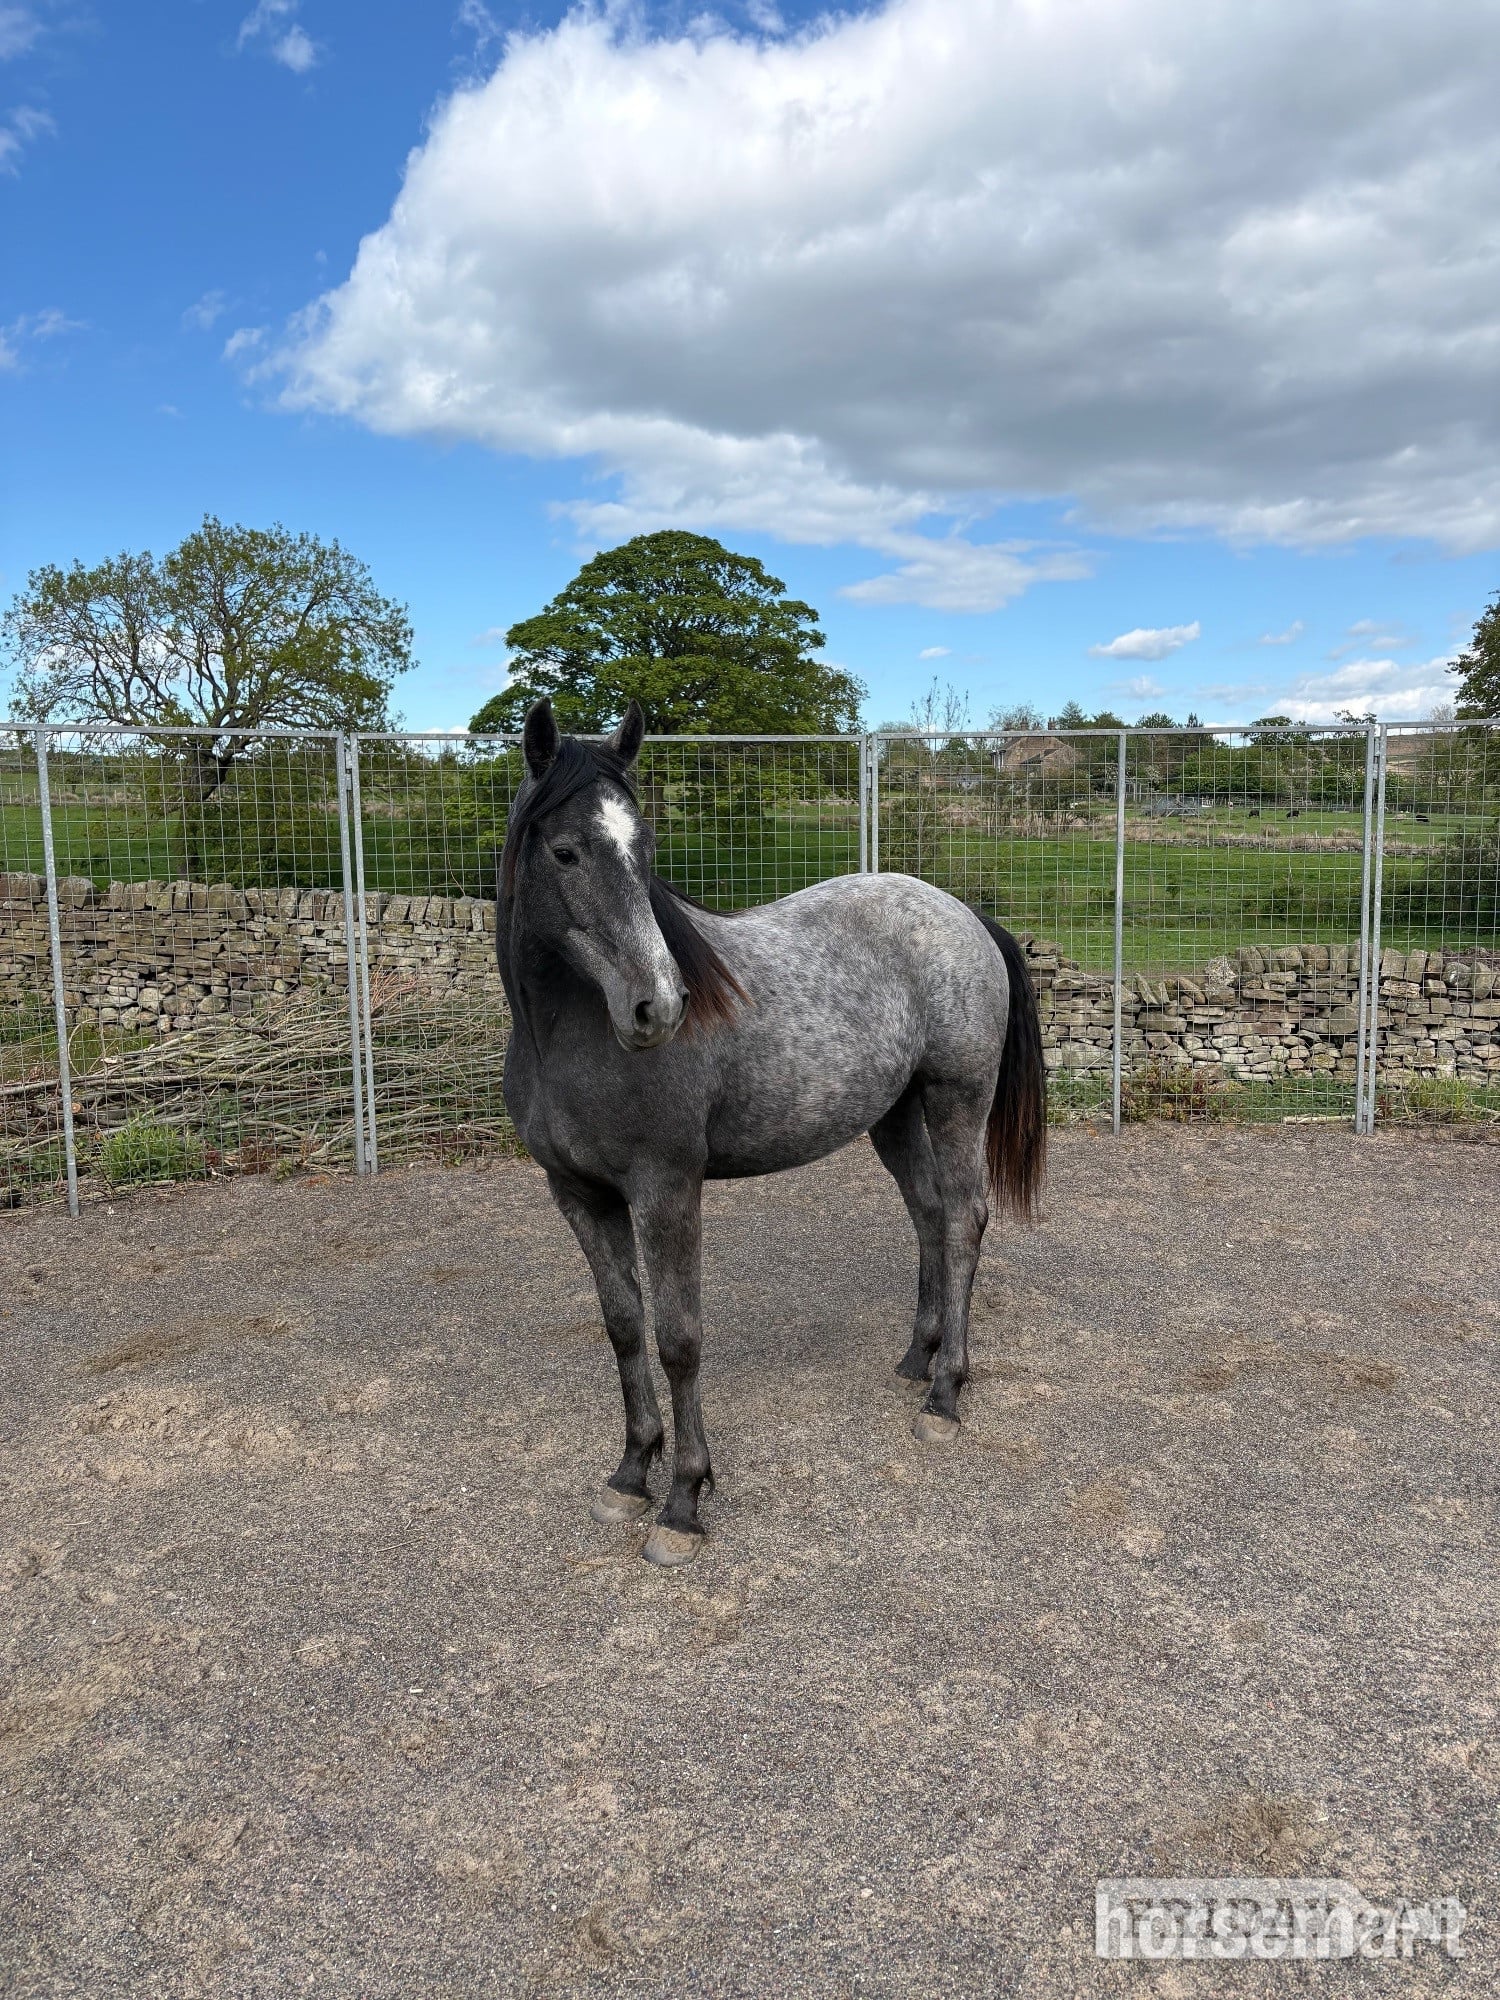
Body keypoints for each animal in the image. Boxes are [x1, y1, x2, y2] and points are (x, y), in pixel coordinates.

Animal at [496, 699, 1047, 1567]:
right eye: (565, 850)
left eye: (644, 849)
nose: (660, 1006)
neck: (569, 1036)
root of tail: (960, 912)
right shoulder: (579, 1196)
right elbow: (624, 1328)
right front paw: (629, 1474)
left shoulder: (666, 1191)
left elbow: (679, 1338)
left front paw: (683, 1502)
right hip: (893, 1115)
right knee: (928, 1214)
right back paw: (915, 1357)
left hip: (957, 1099)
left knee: (963, 1219)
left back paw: (945, 1394)